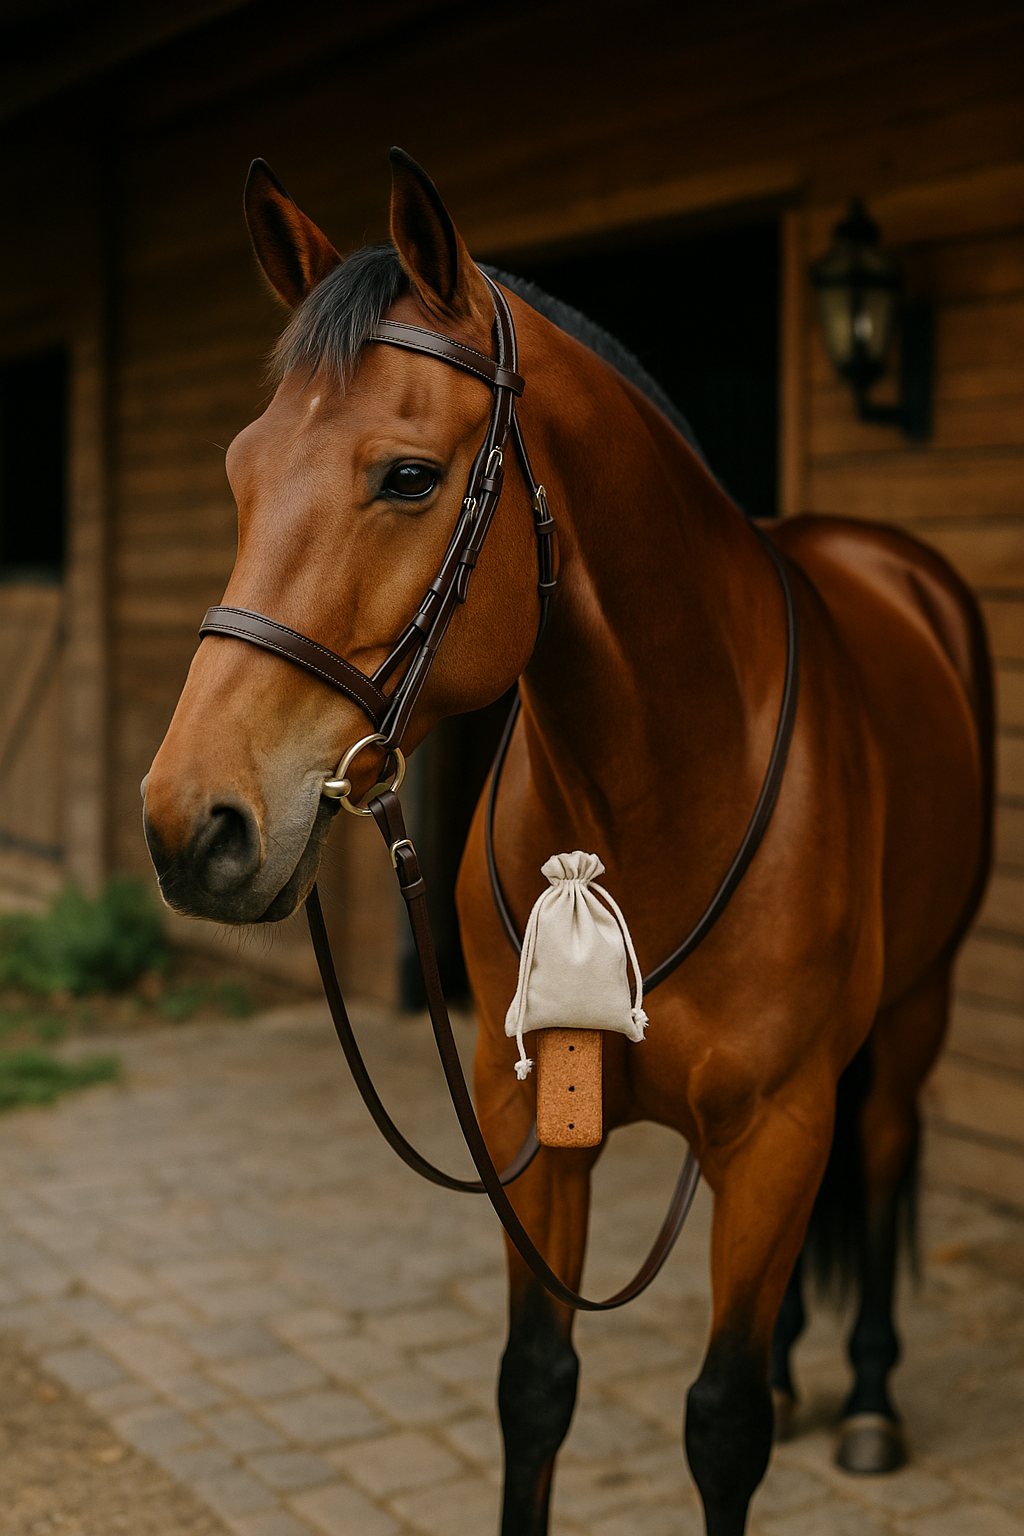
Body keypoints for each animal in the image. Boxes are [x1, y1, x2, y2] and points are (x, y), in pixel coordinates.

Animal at [141, 149, 992, 1536]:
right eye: (237, 470)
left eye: (409, 477)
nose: (189, 825)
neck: (651, 791)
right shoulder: (527, 1115)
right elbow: (534, 1388)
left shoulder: (775, 1127)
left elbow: (723, 1425)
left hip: (914, 1006)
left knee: (881, 1152)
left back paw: (867, 1396)